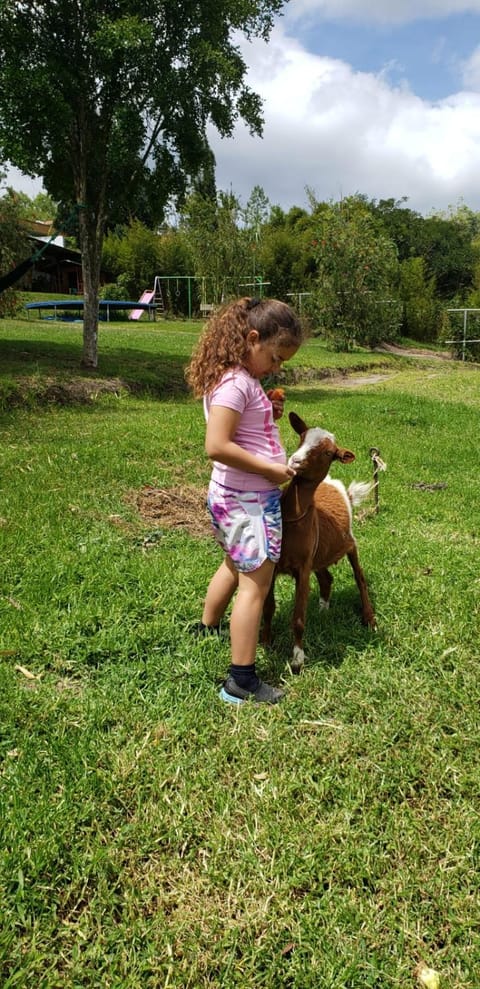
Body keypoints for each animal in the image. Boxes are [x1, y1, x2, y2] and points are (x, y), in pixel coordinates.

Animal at [262, 410, 376, 672]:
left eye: (328, 453)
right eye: (301, 438)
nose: (295, 461)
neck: (293, 520)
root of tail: (340, 488)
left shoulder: (303, 568)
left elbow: (298, 617)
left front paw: (297, 659)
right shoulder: (275, 565)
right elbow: (268, 607)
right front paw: (265, 641)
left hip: (349, 543)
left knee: (360, 577)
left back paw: (369, 618)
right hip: (321, 551)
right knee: (327, 577)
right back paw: (323, 608)